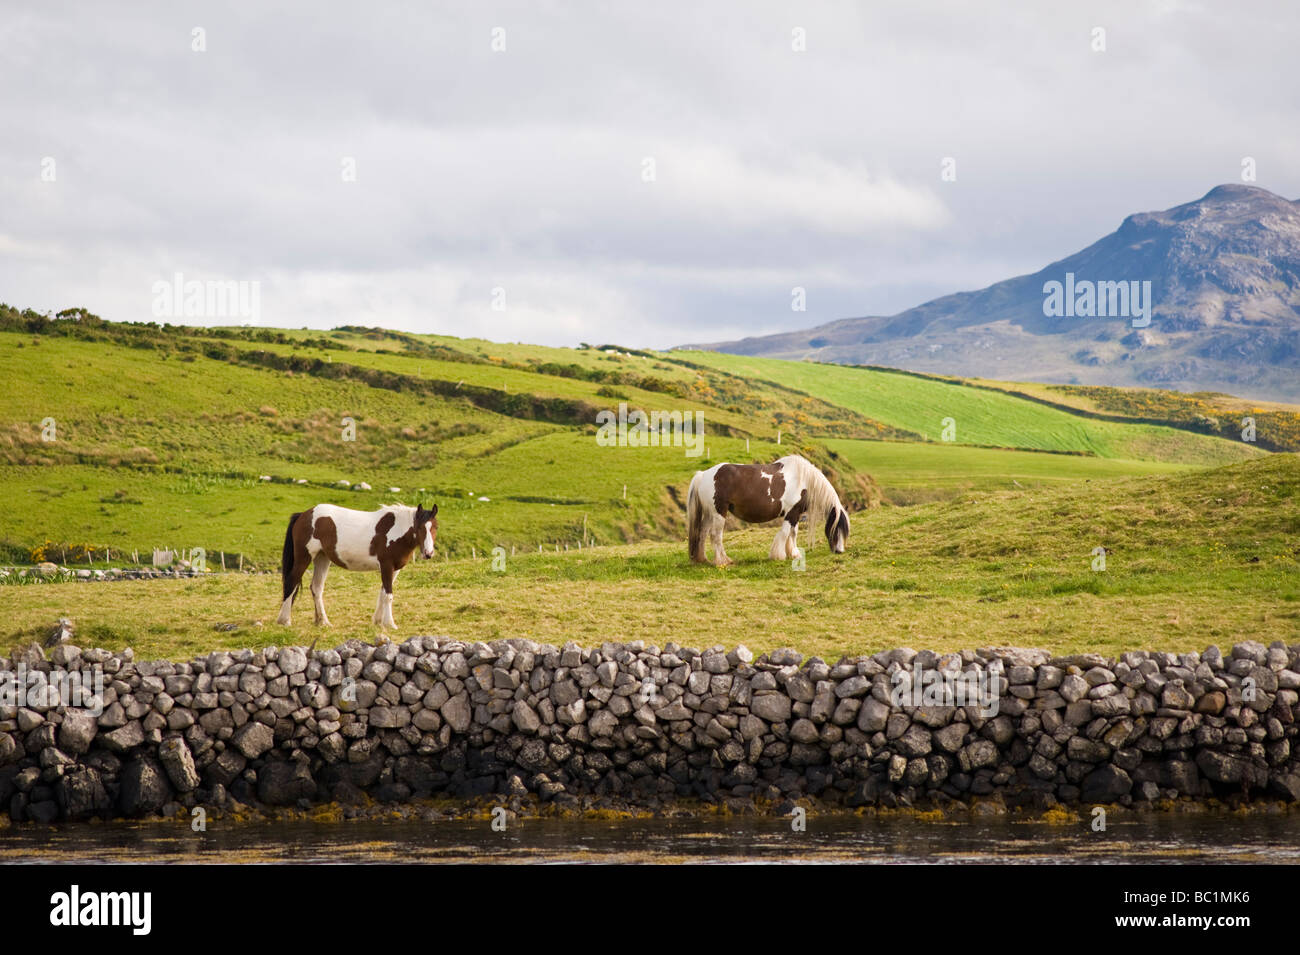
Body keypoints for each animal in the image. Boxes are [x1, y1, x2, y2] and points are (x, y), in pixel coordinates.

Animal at [274, 504, 436, 631]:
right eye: (420, 527)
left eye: (435, 527)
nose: (428, 553)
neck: (397, 529)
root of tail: (303, 515)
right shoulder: (386, 566)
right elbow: (388, 595)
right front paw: (390, 623)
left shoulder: (394, 569)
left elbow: (383, 593)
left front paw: (378, 621)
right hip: (304, 557)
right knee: (291, 582)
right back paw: (285, 620)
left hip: (322, 558)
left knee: (316, 588)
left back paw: (323, 622)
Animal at [686, 454, 847, 566]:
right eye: (837, 528)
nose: (839, 551)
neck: (804, 480)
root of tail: (703, 474)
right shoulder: (791, 513)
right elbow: (785, 533)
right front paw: (779, 556)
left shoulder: (795, 514)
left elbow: (793, 533)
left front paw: (793, 554)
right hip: (719, 512)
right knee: (715, 536)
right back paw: (723, 561)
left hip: (709, 514)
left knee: (703, 533)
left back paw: (703, 559)